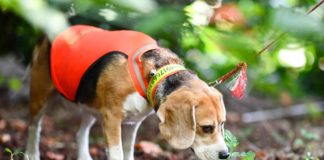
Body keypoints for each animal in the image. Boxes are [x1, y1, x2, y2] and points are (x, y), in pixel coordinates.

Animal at [26, 24, 228, 159]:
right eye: (206, 128)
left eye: (222, 124)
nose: (225, 155)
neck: (152, 73)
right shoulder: (111, 119)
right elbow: (117, 154)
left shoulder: (133, 123)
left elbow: (128, 151)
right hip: (40, 96)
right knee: (34, 127)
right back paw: (31, 154)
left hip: (90, 104)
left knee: (80, 132)